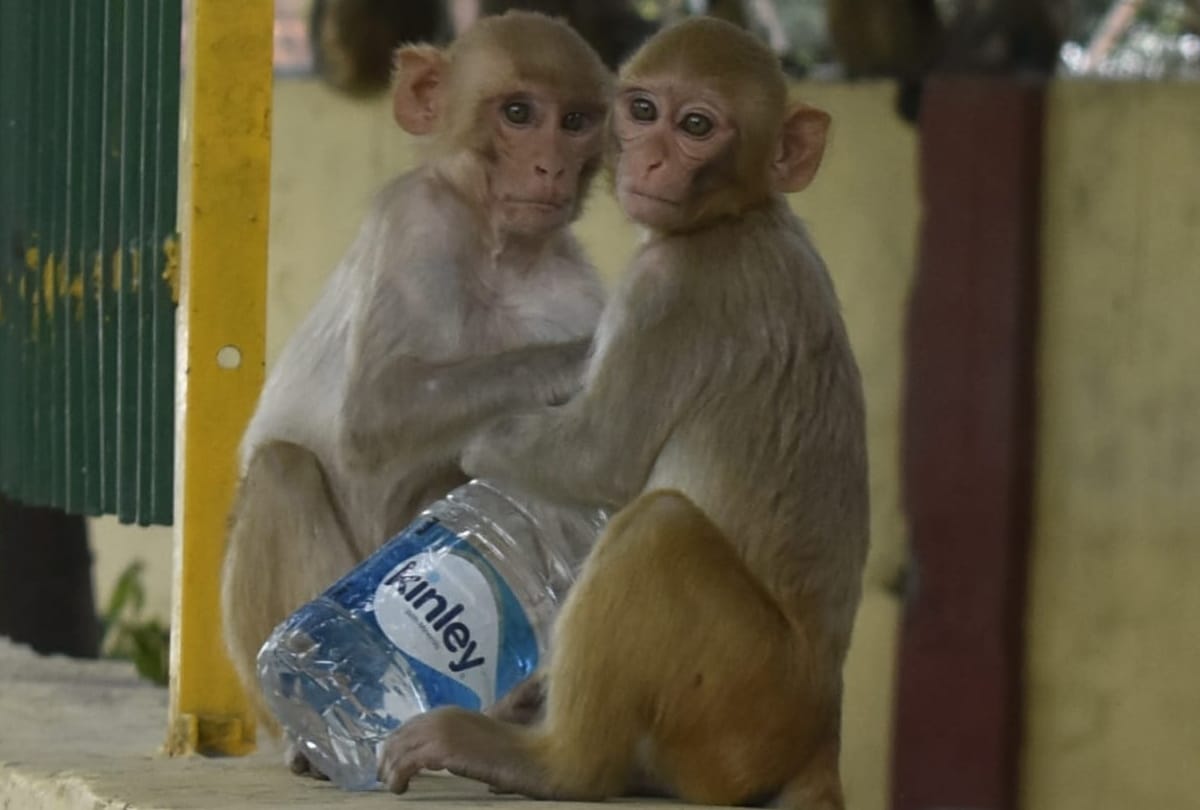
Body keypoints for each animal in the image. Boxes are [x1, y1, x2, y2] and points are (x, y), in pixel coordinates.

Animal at [220, 10, 614, 761]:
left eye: (575, 121)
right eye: (519, 114)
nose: (550, 165)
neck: (502, 254)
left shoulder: (570, 285)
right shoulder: (420, 219)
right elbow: (376, 413)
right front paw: (585, 361)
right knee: (284, 469)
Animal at [378, 17, 870, 810]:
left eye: (696, 125)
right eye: (642, 110)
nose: (652, 157)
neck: (738, 216)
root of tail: (820, 727)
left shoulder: (670, 293)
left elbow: (598, 457)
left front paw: (473, 448)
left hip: (741, 707)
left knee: (657, 527)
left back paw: (551, 763)